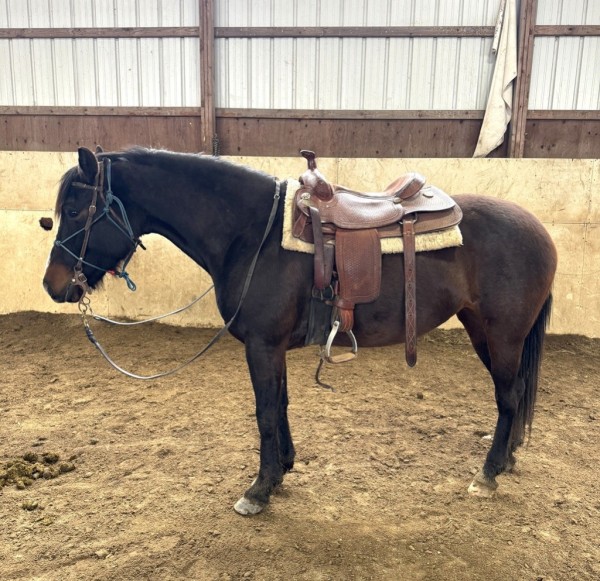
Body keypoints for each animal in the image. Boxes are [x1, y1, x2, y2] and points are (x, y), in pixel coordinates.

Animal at [42, 146, 557, 515]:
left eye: (77, 212)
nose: (52, 284)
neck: (252, 235)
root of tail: (540, 230)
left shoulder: (262, 346)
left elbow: (266, 412)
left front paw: (259, 489)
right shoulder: (273, 347)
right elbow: (281, 404)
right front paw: (283, 469)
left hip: (503, 336)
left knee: (509, 397)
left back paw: (488, 474)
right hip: (482, 331)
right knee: (514, 395)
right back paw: (508, 458)